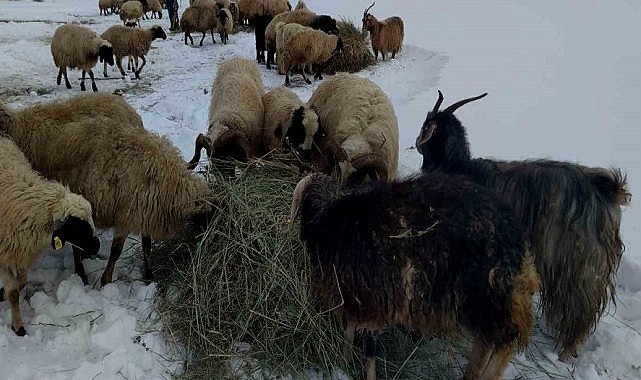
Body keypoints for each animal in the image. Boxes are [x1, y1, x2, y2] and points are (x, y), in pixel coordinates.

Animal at [0, 136, 99, 336]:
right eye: (77, 227)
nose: (97, 246)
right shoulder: (6, 253)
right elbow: (14, 293)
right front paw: (18, 327)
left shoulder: (22, 251)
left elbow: (22, 282)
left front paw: (1, 293)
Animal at [292, 172, 536, 380]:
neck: (330, 218)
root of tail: (515, 236)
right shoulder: (359, 299)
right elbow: (350, 331)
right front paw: (344, 360)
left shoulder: (371, 299)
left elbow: (369, 349)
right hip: (484, 303)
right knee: (486, 340)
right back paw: (471, 373)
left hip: (488, 295)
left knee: (506, 339)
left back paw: (487, 373)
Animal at [416, 90, 632, 360]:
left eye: (426, 125)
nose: (416, 144)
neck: (458, 167)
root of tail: (609, 189)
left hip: (579, 264)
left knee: (581, 308)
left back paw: (566, 352)